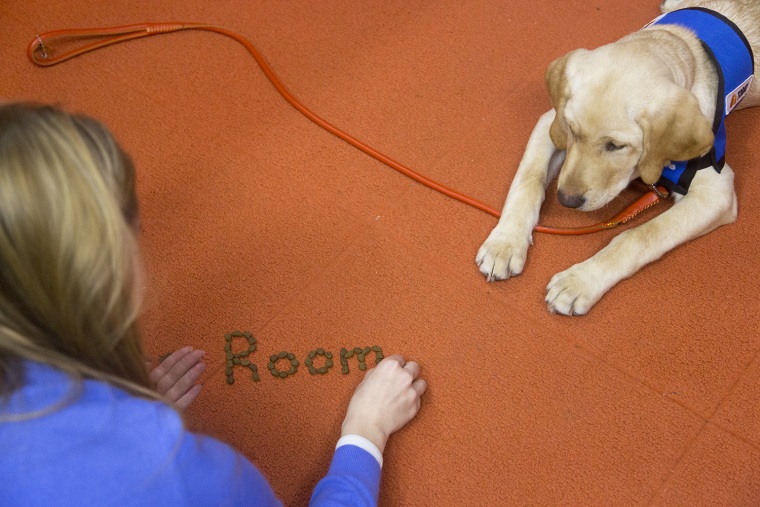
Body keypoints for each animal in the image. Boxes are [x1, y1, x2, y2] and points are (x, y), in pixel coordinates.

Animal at [478, 0, 756, 316]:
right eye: (572, 130)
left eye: (616, 145)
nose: (566, 201)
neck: (676, 43)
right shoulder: (550, 123)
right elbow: (528, 180)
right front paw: (505, 242)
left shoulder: (716, 191)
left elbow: (637, 236)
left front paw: (581, 280)